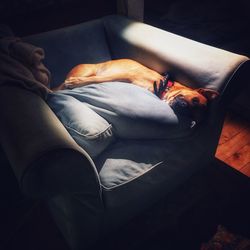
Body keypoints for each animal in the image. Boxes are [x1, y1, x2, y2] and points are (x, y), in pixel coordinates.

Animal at [55, 58, 219, 121]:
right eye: (195, 100)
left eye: (193, 117)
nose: (183, 109)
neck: (164, 86)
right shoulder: (125, 75)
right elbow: (97, 80)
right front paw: (76, 82)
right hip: (89, 70)